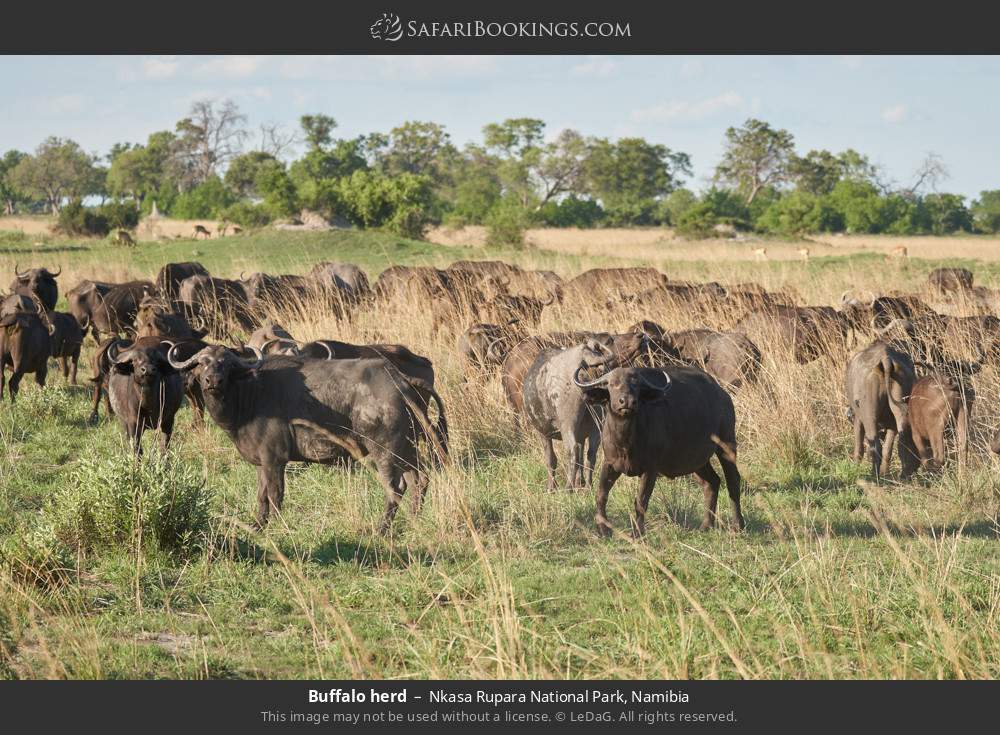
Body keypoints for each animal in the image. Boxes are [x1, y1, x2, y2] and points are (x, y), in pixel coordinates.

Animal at [576, 366, 748, 536]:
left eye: (636, 385)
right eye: (612, 384)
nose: (627, 401)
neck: (626, 441)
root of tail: (723, 395)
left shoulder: (650, 469)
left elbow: (641, 501)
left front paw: (637, 533)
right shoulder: (610, 463)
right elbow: (601, 495)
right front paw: (603, 529)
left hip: (726, 443)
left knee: (733, 480)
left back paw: (737, 526)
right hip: (696, 460)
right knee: (712, 482)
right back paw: (706, 525)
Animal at [840, 340, 916, 480]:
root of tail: (886, 359)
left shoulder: (858, 419)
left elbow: (859, 446)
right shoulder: (892, 425)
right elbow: (888, 449)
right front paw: (885, 472)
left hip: (869, 416)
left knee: (875, 447)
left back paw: (873, 475)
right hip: (900, 411)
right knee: (901, 444)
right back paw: (902, 475)